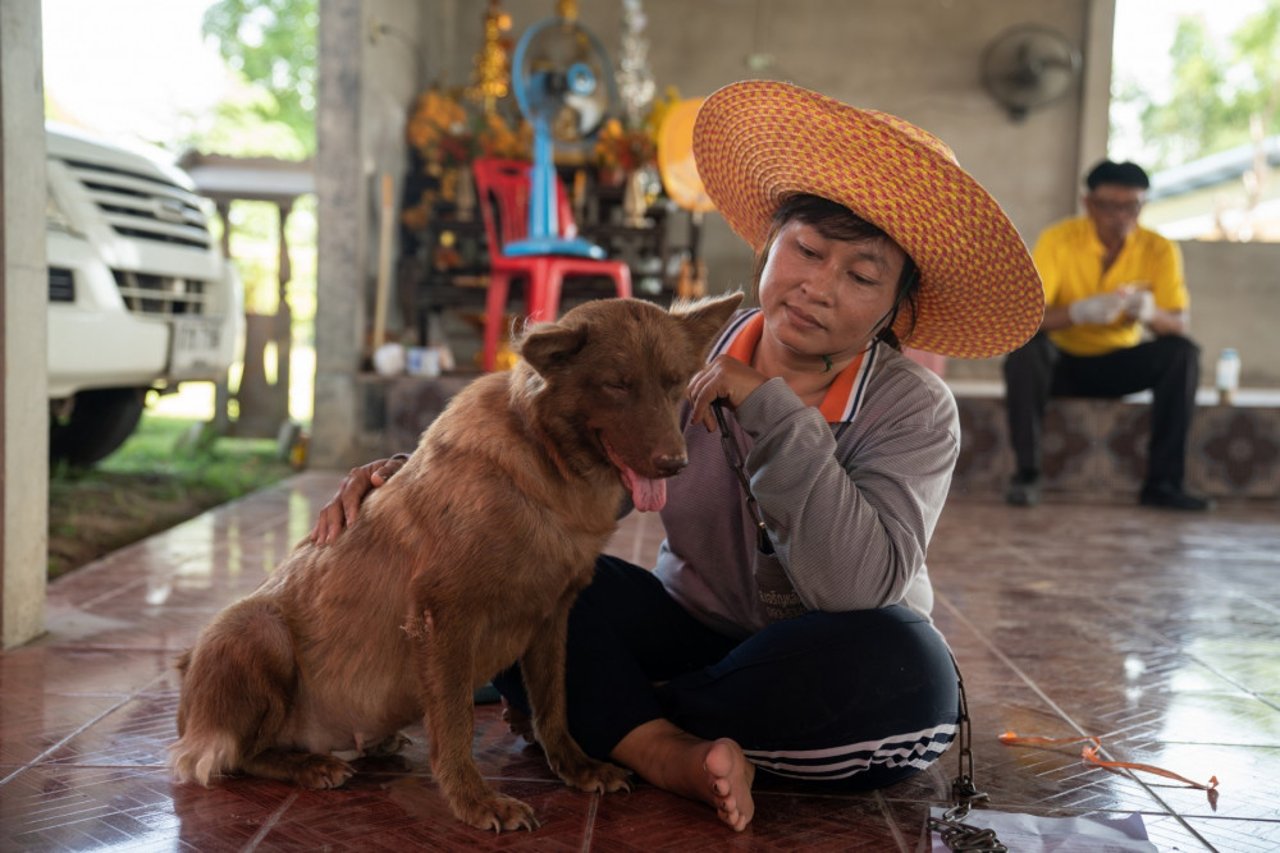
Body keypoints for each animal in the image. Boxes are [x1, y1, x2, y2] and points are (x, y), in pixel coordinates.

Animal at [172, 292, 747, 829]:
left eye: (675, 383)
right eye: (617, 385)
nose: (675, 464)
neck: (546, 465)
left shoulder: (553, 619)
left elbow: (553, 707)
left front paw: (575, 768)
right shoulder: (443, 618)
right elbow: (456, 724)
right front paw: (474, 801)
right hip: (253, 628)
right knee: (228, 756)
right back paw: (307, 765)